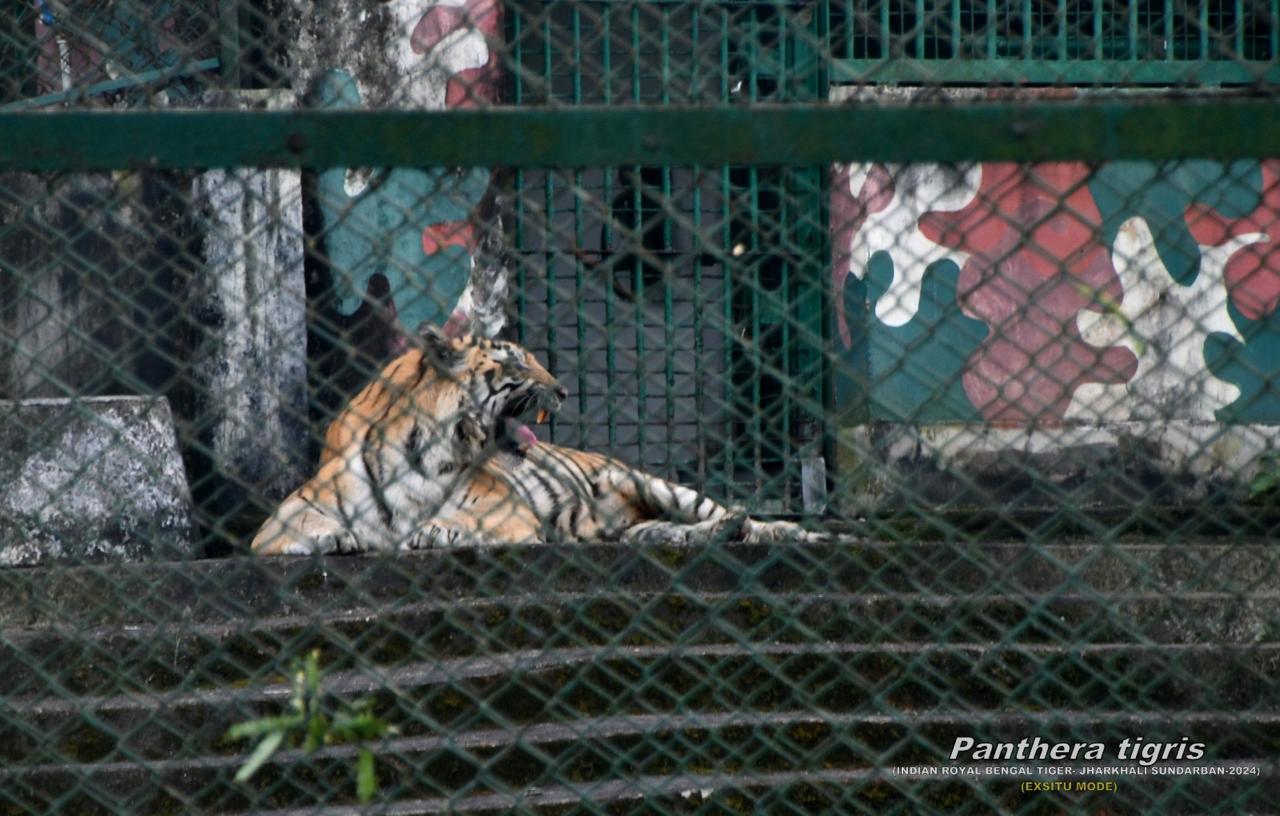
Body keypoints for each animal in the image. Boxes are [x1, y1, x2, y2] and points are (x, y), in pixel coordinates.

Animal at [249, 313, 814, 557]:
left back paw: (789, 532)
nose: (563, 389)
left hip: (660, 487)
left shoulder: (505, 509)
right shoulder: (287, 511)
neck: (422, 451)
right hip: (635, 528)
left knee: (735, 517)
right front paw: (333, 537)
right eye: (517, 362)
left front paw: (433, 531)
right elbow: (292, 527)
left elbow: (464, 521)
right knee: (675, 533)